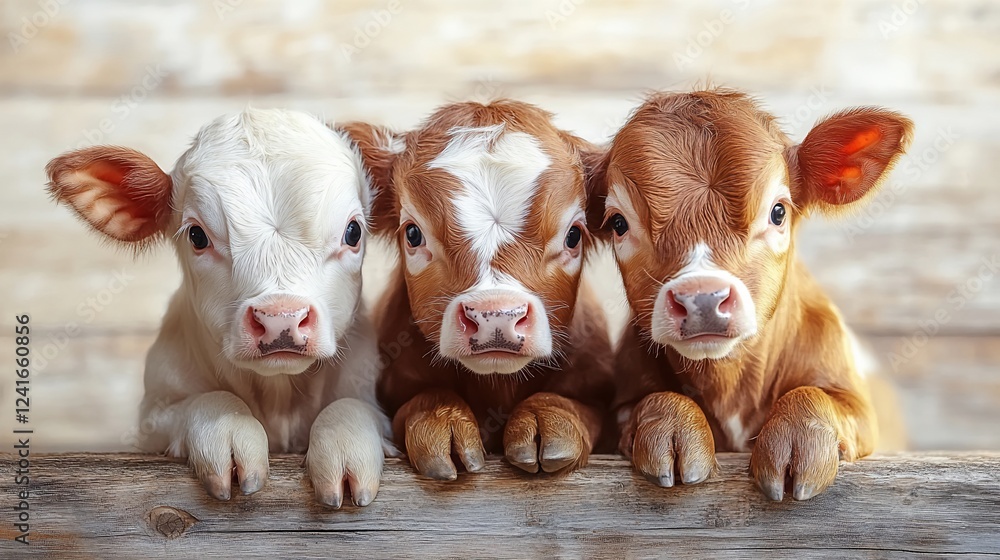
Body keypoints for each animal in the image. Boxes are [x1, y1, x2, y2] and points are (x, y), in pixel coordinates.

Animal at [45, 108, 394, 508]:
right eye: (197, 236)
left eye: (353, 232)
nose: (280, 320)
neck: (277, 394)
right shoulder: (153, 418)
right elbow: (212, 401)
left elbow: (351, 407)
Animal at [600, 89, 912, 500]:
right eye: (619, 223)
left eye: (778, 212)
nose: (702, 299)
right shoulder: (623, 401)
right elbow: (654, 400)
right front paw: (672, 429)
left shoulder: (856, 402)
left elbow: (816, 397)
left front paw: (796, 446)